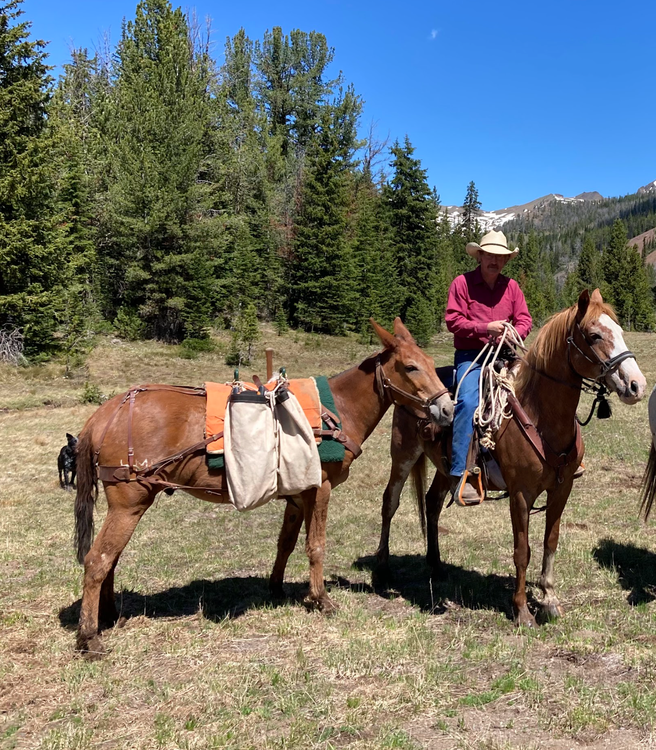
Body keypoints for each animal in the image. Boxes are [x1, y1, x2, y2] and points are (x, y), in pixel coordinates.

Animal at [72, 318, 452, 656]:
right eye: (411, 367)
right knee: (98, 560)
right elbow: (316, 546)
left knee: (110, 558)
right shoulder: (320, 490)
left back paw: (109, 615)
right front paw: (321, 599)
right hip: (129, 504)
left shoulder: (298, 495)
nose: (448, 408)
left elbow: (286, 544)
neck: (335, 411)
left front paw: (276, 589)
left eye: (430, 363)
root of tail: (105, 413)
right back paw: (90, 636)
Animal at [374, 290, 644, 624]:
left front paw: (549, 599)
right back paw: (382, 570)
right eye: (594, 335)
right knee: (390, 502)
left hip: (445, 469)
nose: (637, 385)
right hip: (403, 455)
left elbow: (550, 541)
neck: (539, 416)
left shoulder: (562, 490)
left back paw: (436, 566)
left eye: (619, 330)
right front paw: (522, 610)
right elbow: (522, 550)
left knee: (433, 504)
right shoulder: (520, 494)